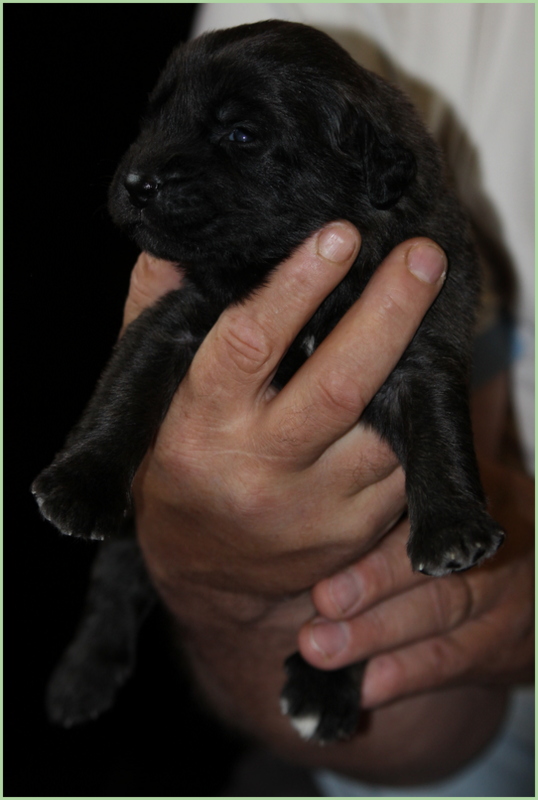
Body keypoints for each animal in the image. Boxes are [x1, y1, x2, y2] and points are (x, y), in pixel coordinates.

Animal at [33, 20, 504, 742]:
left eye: (241, 135)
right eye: (154, 120)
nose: (135, 181)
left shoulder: (421, 346)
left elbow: (441, 430)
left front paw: (453, 526)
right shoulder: (175, 321)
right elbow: (123, 397)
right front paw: (80, 488)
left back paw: (323, 689)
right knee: (114, 582)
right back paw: (82, 675)